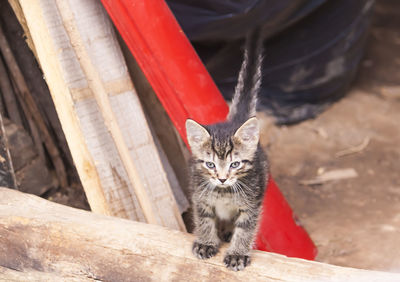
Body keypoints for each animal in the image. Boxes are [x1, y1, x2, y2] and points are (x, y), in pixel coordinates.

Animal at [185, 28, 268, 270]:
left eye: (235, 164)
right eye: (210, 164)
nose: (222, 179)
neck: (223, 192)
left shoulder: (252, 205)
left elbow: (246, 229)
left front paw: (237, 254)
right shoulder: (199, 197)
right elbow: (204, 220)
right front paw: (206, 242)